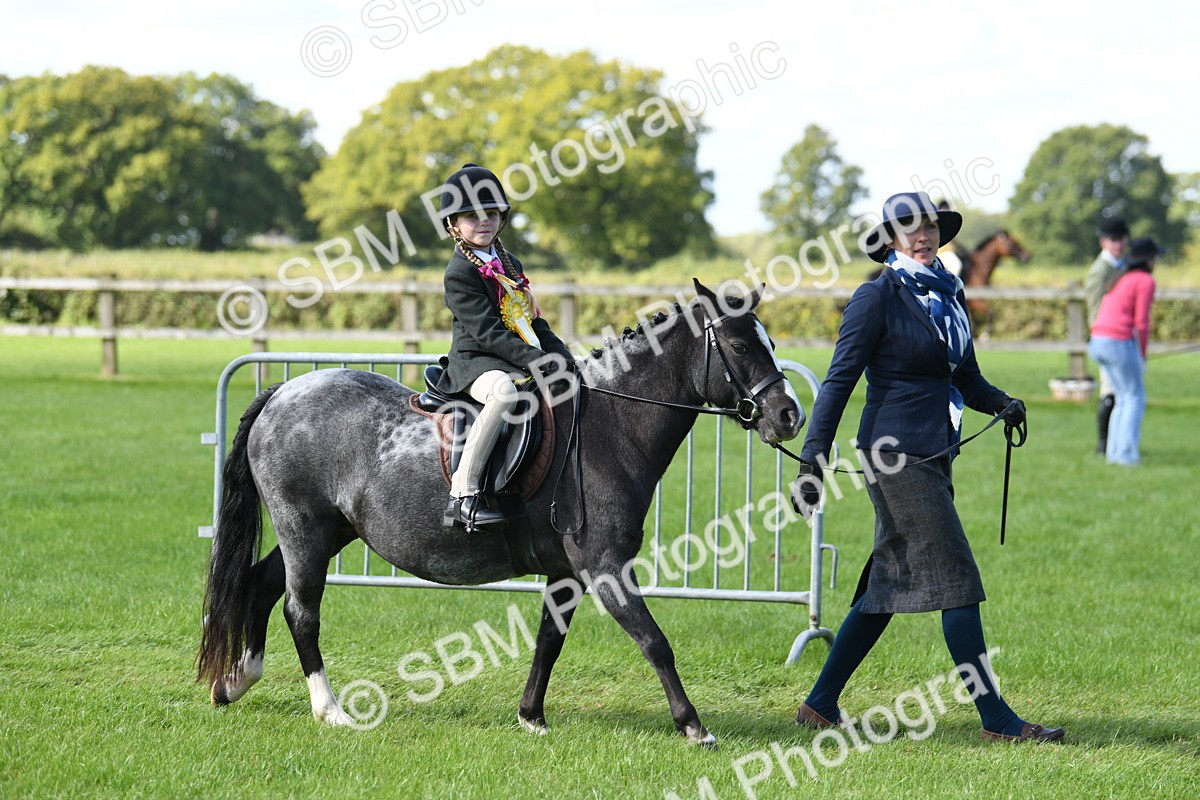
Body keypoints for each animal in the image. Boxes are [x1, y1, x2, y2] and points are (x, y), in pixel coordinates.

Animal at [196, 279, 804, 747]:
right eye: (739, 345)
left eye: (770, 342)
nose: (789, 415)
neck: (609, 428)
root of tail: (282, 393)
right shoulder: (606, 566)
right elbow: (655, 642)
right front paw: (694, 727)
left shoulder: (567, 572)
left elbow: (548, 641)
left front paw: (531, 717)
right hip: (304, 529)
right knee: (301, 611)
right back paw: (331, 710)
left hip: (325, 532)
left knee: (261, 584)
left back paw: (236, 681)